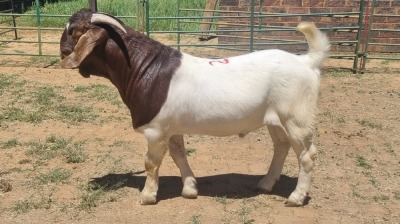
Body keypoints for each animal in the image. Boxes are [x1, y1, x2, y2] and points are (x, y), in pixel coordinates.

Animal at [59, 8, 328, 206]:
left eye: (74, 31)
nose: (61, 51)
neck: (141, 67)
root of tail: (306, 61)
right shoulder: (172, 127)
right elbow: (179, 155)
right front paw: (190, 189)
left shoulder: (155, 130)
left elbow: (151, 162)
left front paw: (147, 196)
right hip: (275, 119)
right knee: (281, 146)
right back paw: (265, 183)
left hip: (296, 117)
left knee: (307, 155)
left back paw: (296, 197)